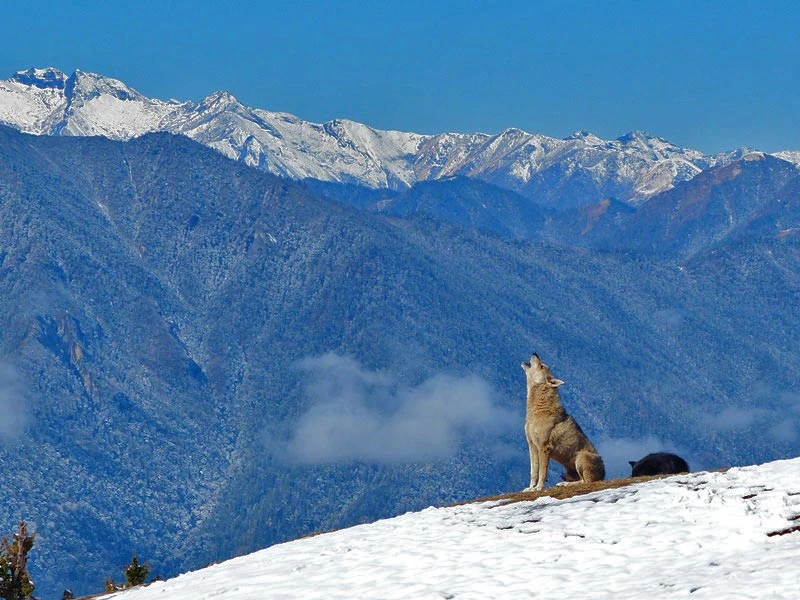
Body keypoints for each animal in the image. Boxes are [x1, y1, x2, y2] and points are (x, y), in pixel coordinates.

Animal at [522, 353, 605, 491]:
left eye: (542, 366)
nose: (535, 353)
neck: (538, 409)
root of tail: (603, 475)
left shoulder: (543, 448)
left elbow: (542, 472)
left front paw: (539, 488)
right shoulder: (532, 446)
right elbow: (533, 471)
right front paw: (530, 488)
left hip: (581, 458)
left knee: (585, 481)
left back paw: (565, 484)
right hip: (567, 472)